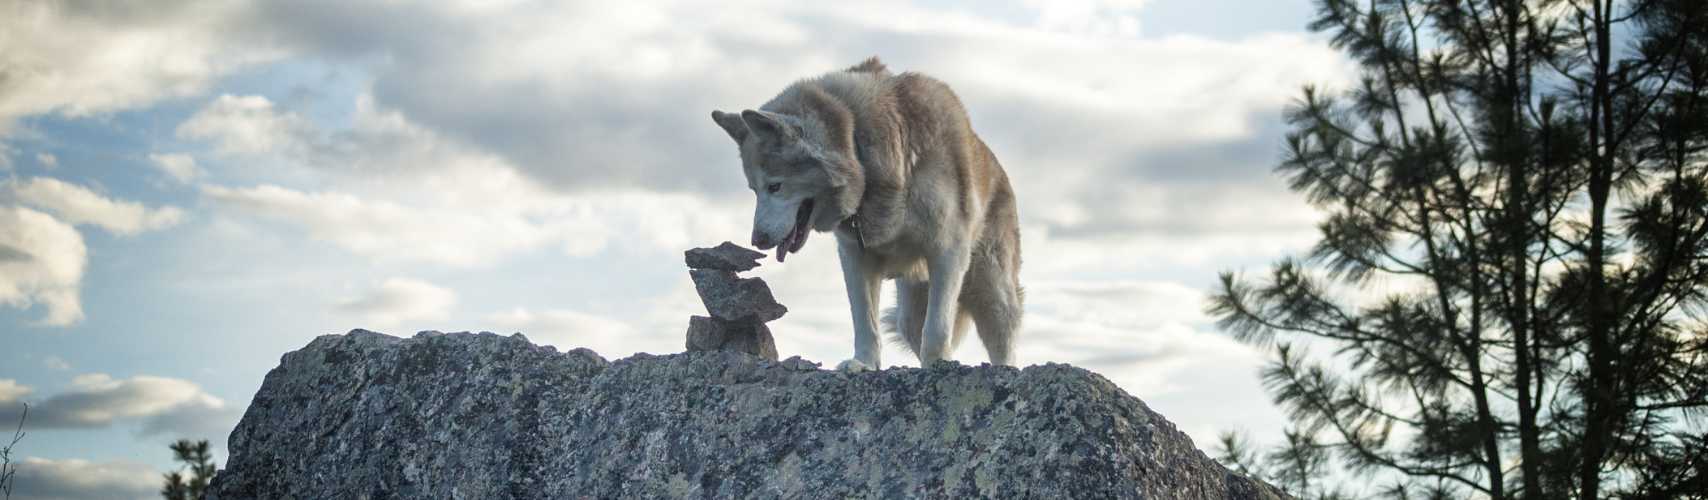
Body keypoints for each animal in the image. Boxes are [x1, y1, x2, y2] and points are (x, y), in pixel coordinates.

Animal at [710, 56, 1023, 371]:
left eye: (775, 186)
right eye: (754, 190)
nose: (757, 240)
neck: (862, 148)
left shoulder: (948, 251)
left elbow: (937, 328)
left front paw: (937, 364)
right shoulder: (855, 256)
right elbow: (864, 322)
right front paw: (863, 363)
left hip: (991, 289)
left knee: (1001, 338)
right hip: (909, 313)